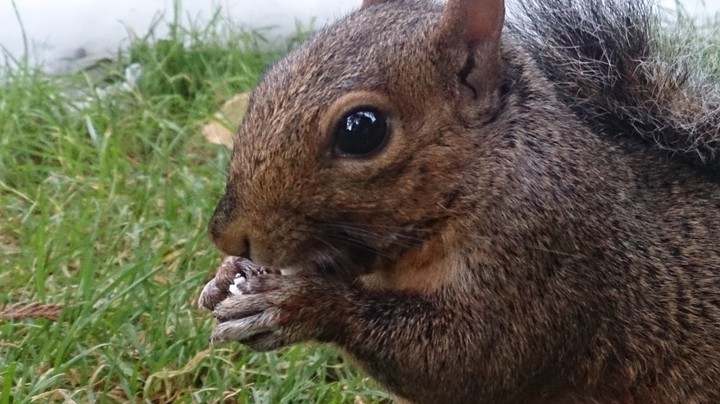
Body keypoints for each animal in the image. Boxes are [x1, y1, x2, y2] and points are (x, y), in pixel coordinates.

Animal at [198, 0, 720, 402]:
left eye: (362, 129)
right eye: (271, 76)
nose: (227, 235)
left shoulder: (547, 258)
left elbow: (468, 360)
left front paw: (298, 304)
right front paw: (227, 276)